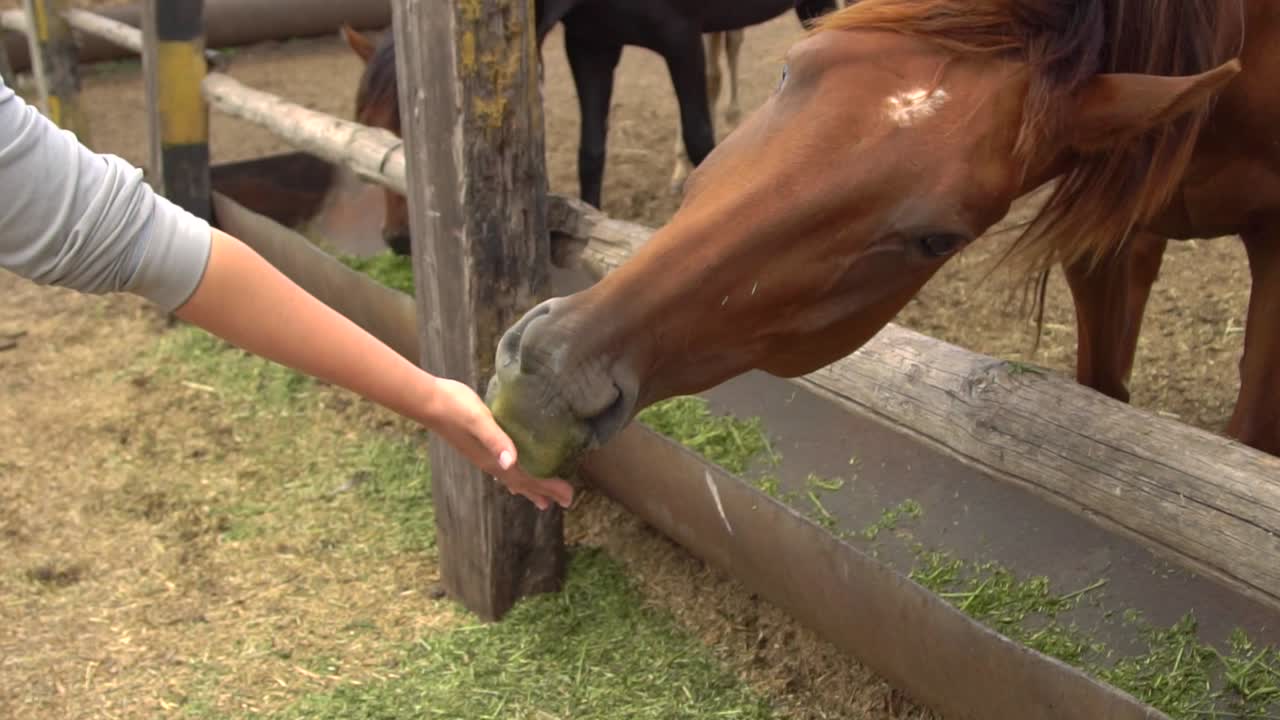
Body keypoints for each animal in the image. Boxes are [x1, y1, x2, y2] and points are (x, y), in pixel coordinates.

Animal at [486, 0, 1280, 479]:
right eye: (791, 69)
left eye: (937, 239)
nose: (549, 380)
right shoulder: (1106, 239)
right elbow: (1105, 384)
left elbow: (1247, 435)